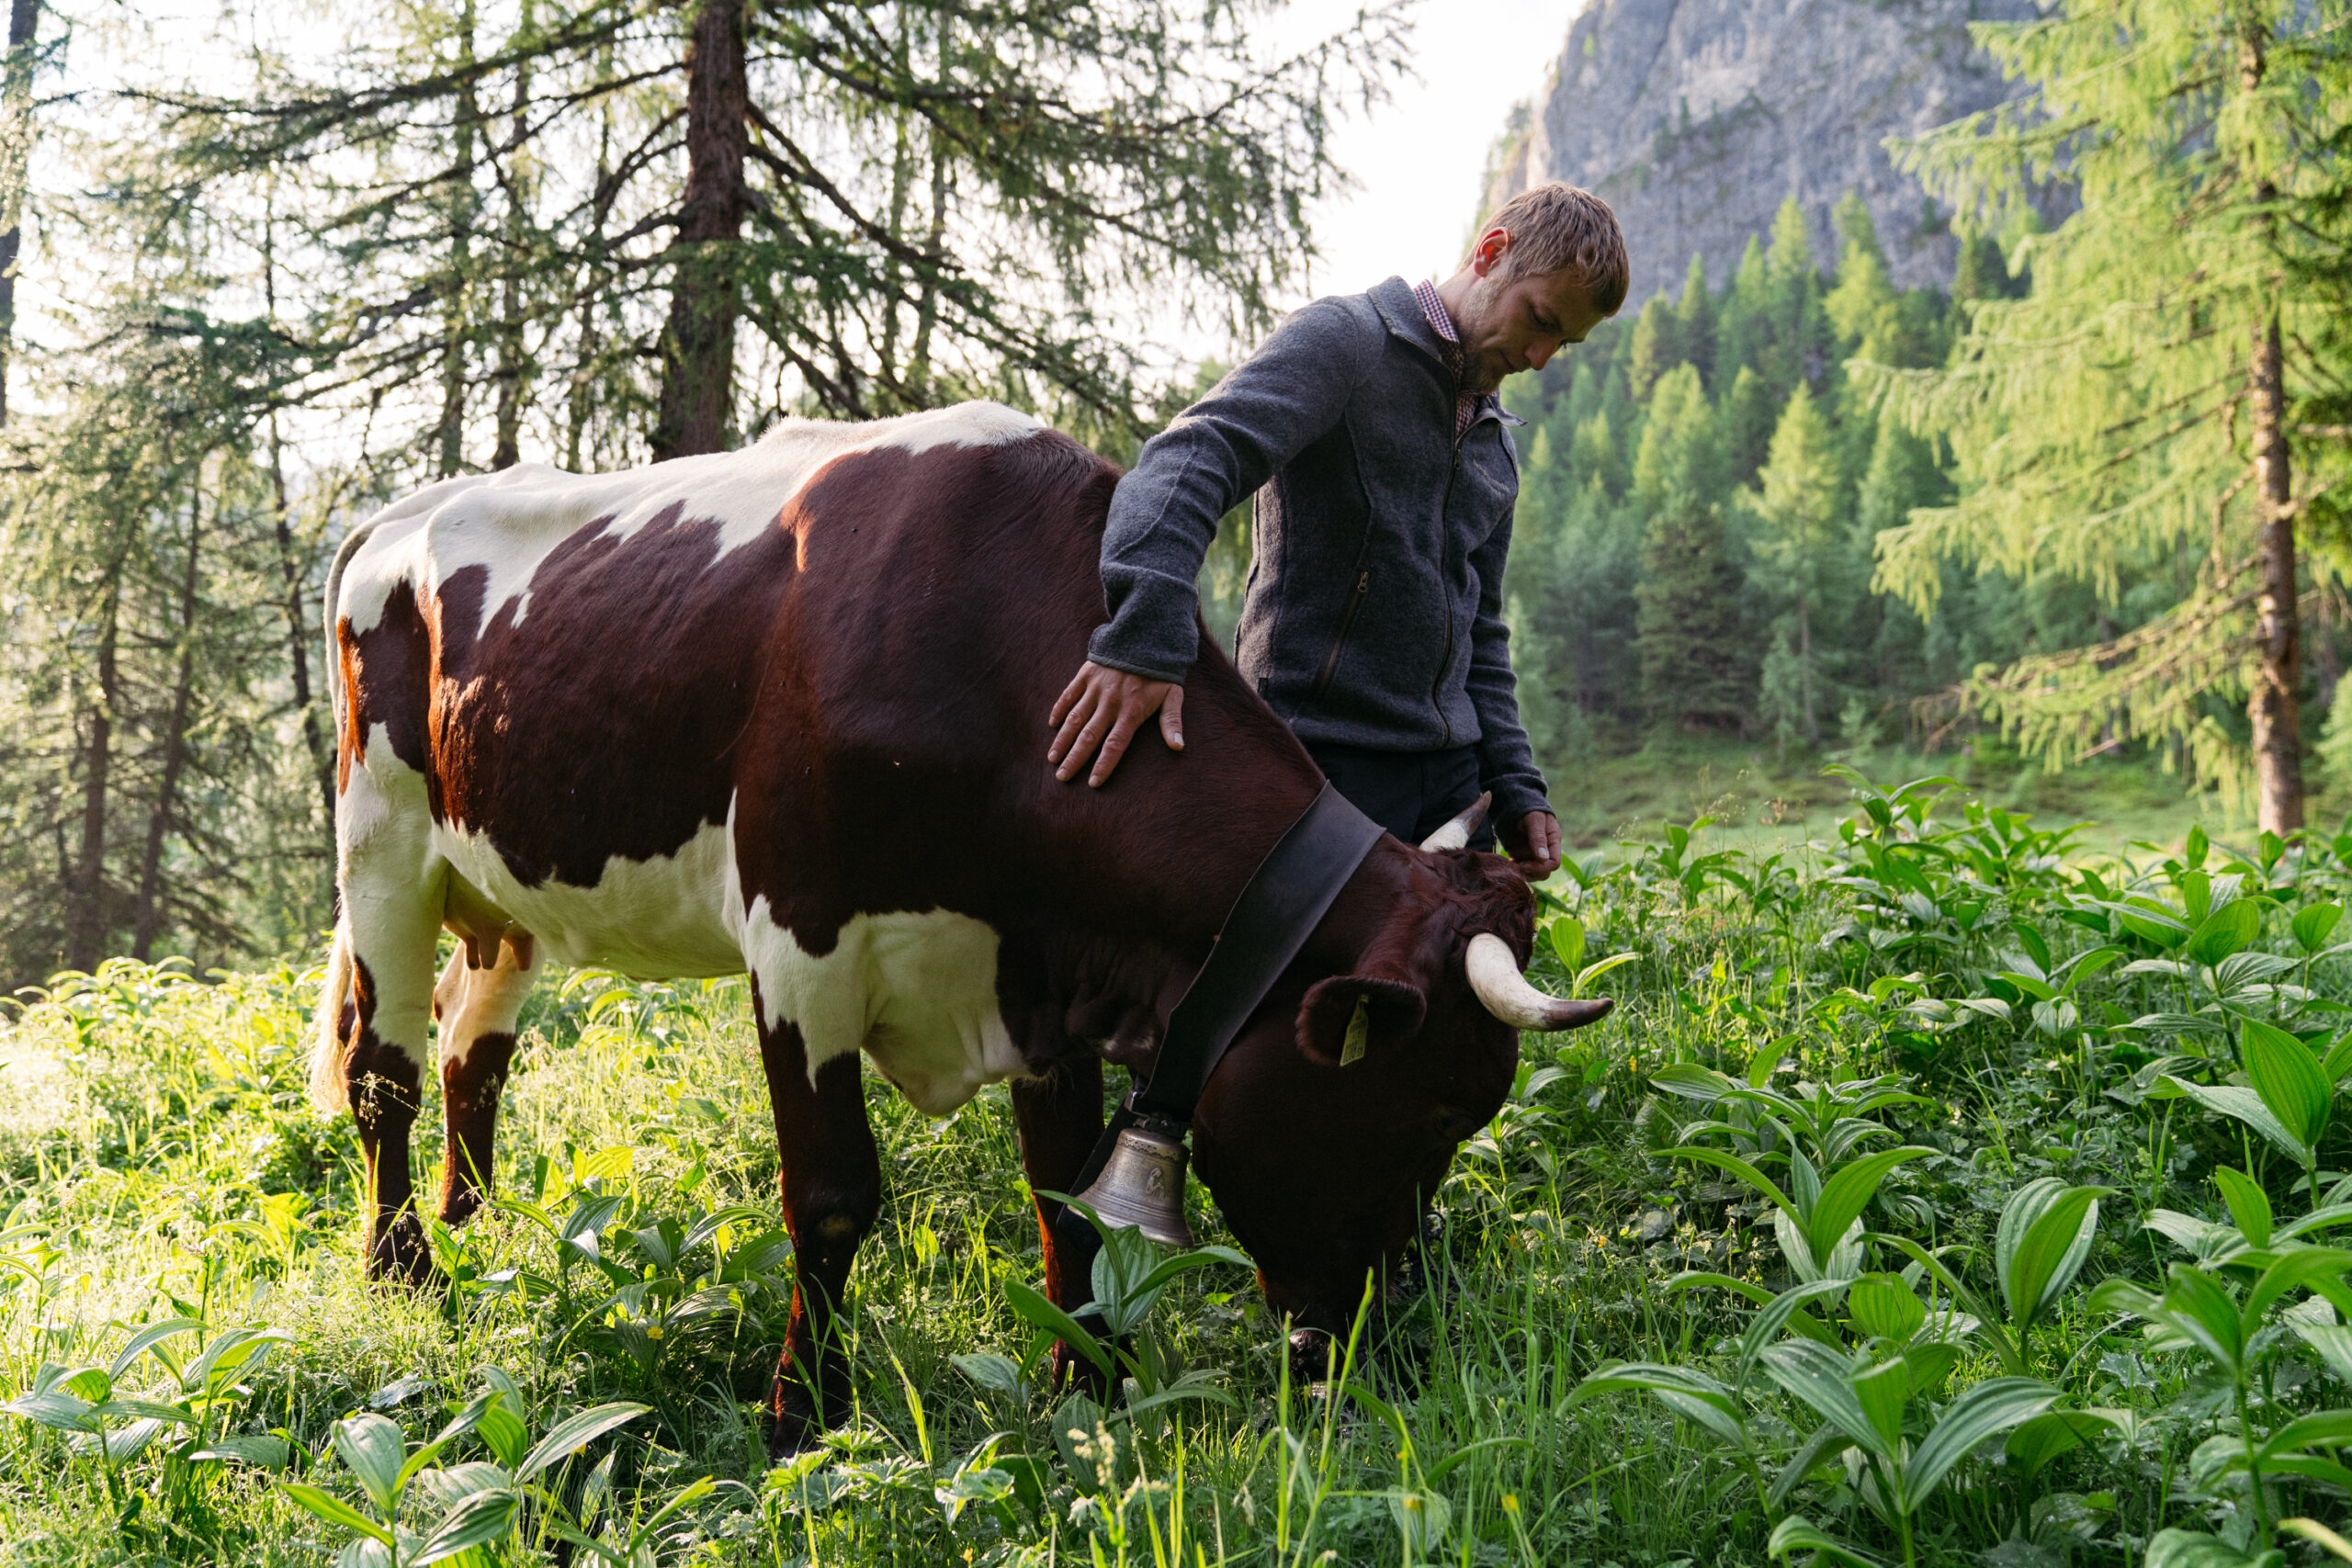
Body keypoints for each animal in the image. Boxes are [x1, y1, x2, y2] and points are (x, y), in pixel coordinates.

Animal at [308, 400, 1599, 1457]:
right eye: (1430, 1109)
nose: (1393, 1360)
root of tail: (392, 516)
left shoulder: (1046, 976)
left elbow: (1066, 1197)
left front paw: (1086, 1392)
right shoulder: (801, 944)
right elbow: (831, 1196)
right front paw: (803, 1420)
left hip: (501, 891)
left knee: (473, 1050)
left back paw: (483, 1232)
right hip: (381, 845)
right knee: (383, 1072)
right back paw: (405, 1271)